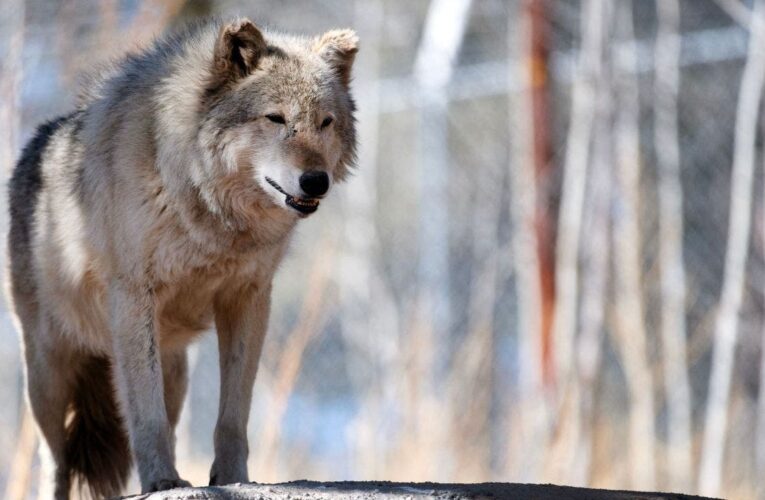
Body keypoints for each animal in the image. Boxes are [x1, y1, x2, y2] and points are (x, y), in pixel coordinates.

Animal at [6, 17, 358, 498]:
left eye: (325, 122)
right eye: (276, 118)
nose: (316, 181)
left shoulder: (248, 298)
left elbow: (233, 414)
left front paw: (230, 478)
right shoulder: (134, 298)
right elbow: (144, 414)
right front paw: (162, 479)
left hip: (174, 371)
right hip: (48, 376)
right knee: (53, 458)